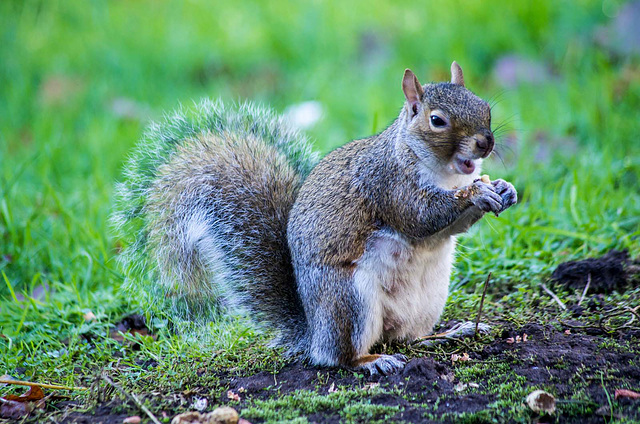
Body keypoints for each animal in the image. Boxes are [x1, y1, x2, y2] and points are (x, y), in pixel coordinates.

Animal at [112, 62, 516, 374]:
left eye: (485, 107)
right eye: (437, 120)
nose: (486, 143)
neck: (444, 173)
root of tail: (313, 332)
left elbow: (452, 226)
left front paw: (504, 188)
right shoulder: (386, 184)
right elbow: (420, 217)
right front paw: (477, 193)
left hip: (428, 301)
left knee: (408, 338)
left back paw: (450, 333)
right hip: (349, 300)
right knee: (340, 357)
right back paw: (371, 361)